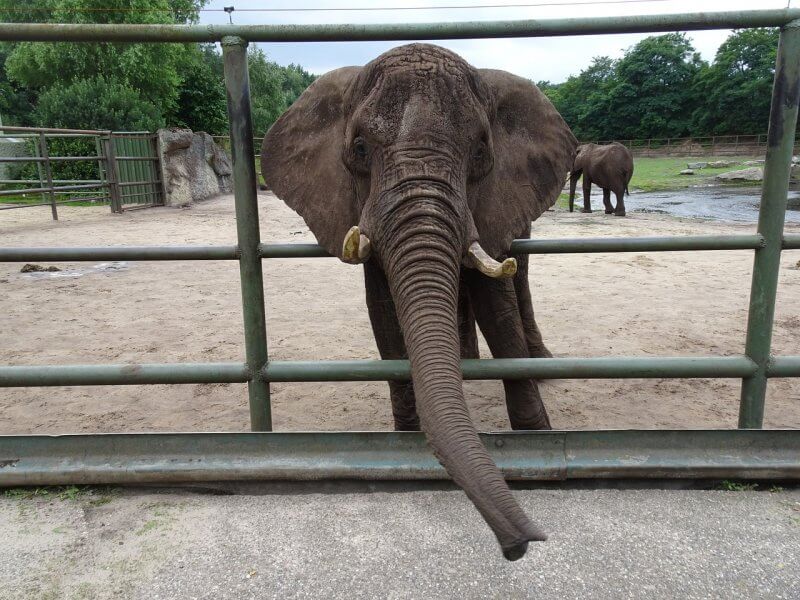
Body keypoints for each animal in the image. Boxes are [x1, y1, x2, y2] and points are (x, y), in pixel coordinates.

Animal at [260, 43, 576, 564]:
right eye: (360, 149)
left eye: (481, 151)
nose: (521, 544)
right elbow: (385, 312)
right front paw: (406, 444)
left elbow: (498, 308)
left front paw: (539, 439)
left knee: (520, 275)